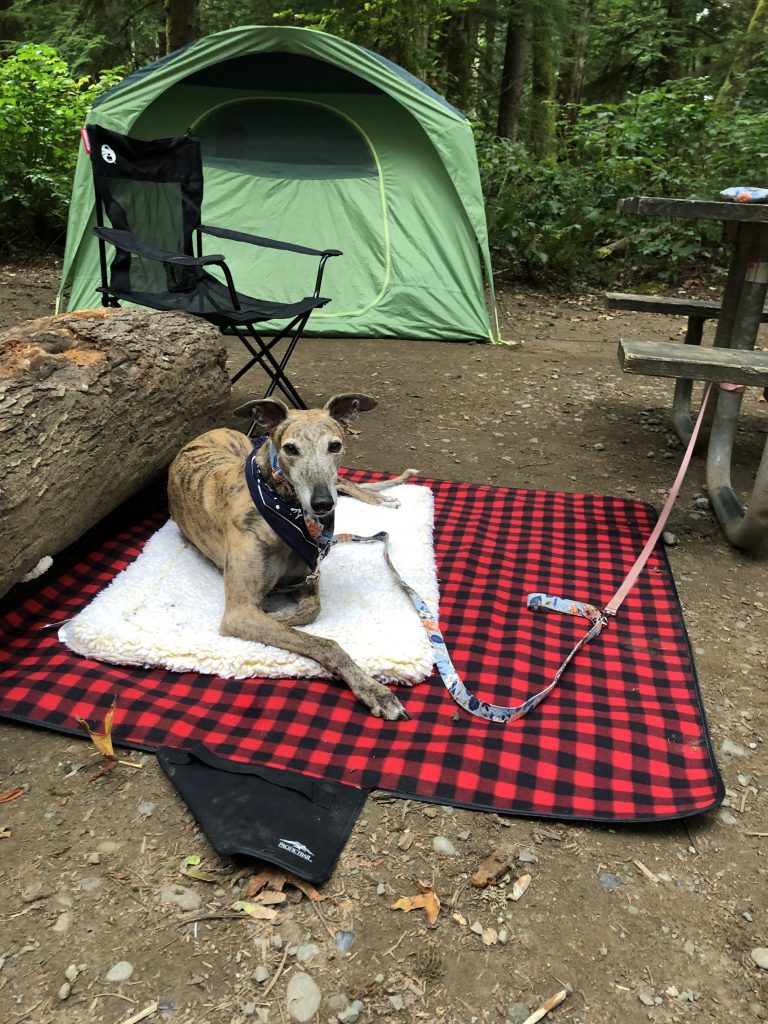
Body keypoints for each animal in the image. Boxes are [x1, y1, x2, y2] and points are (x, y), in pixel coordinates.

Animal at [167, 391, 417, 720]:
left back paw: (381, 496)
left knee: (343, 482)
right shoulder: (239, 611)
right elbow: (324, 641)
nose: (322, 504)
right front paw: (375, 690)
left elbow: (312, 610)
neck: (286, 511)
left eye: (334, 446)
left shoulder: (307, 576)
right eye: (290, 448)